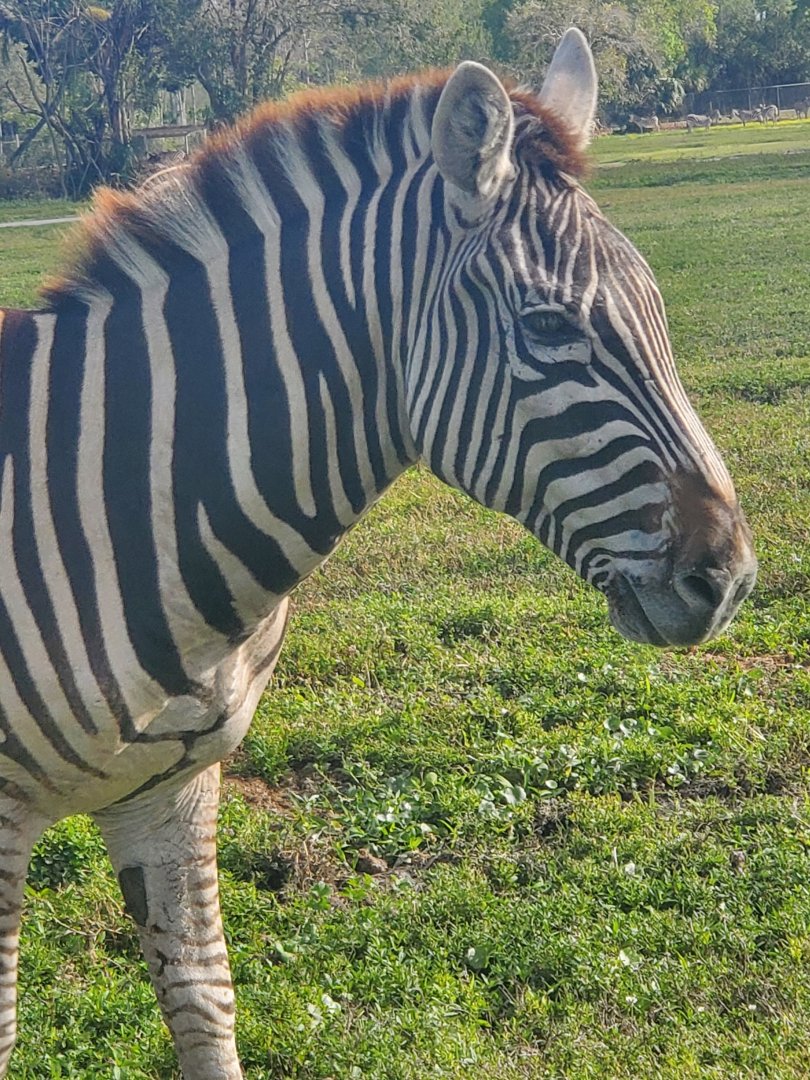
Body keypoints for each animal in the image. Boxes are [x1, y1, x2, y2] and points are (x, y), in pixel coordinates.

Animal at [0, 28, 756, 1079]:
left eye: (657, 308)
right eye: (547, 326)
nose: (728, 578)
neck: (117, 497)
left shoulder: (171, 791)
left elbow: (202, 1000)